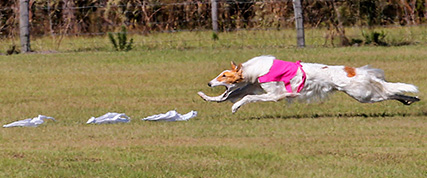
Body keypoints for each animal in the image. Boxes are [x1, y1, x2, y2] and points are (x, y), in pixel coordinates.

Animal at [198, 55, 422, 112]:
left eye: (224, 75)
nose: (209, 83)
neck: (255, 69)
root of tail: (356, 71)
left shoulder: (275, 94)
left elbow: (245, 98)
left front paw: (235, 107)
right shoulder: (255, 86)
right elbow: (226, 96)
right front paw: (206, 96)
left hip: (363, 94)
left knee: (389, 93)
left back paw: (410, 98)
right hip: (364, 94)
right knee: (391, 93)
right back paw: (410, 99)